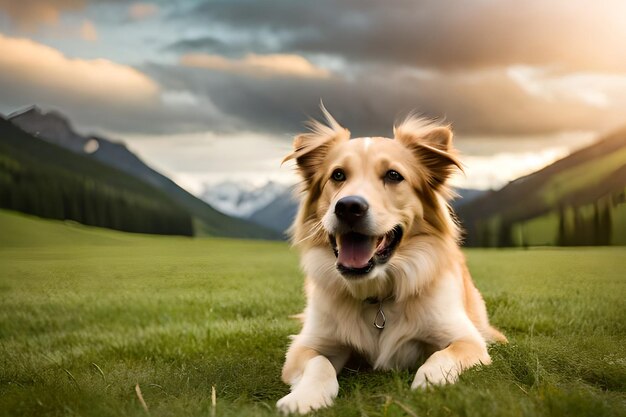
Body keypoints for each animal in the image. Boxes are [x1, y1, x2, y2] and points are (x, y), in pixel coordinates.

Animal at [276, 106, 504, 412]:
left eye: (394, 175)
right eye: (337, 175)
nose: (348, 207)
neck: (378, 296)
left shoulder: (467, 340)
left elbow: (442, 356)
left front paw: (430, 385)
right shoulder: (304, 345)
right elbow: (319, 363)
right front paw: (304, 398)